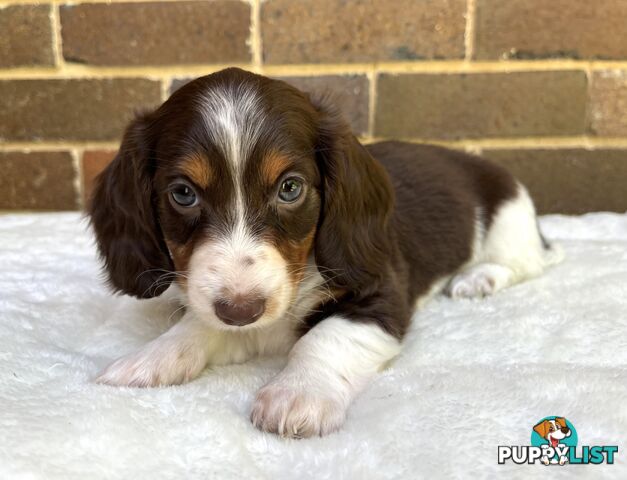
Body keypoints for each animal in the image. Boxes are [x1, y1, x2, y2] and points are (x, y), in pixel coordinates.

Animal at [89, 67, 564, 438]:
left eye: (290, 188)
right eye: (183, 194)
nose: (241, 311)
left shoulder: (380, 293)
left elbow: (324, 338)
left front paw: (298, 393)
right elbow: (199, 324)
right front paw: (153, 357)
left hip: (509, 222)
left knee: (528, 264)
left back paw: (478, 278)